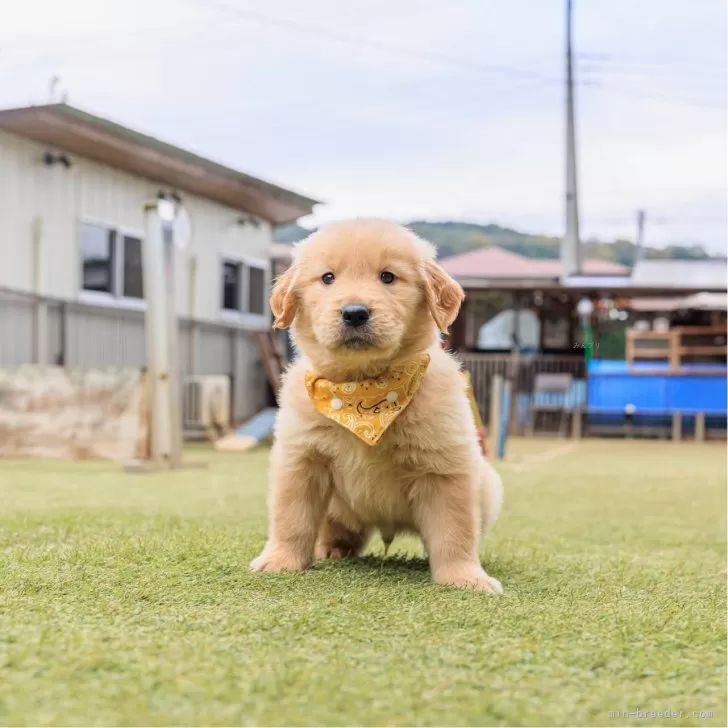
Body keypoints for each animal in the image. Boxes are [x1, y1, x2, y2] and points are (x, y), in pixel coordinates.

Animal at [253, 218, 504, 592]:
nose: (355, 313)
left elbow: (454, 531)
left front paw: (464, 577)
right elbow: (291, 518)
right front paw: (281, 561)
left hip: (486, 486)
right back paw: (333, 550)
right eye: (328, 278)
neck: (365, 388)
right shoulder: (301, 460)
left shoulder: (445, 469)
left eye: (388, 277)